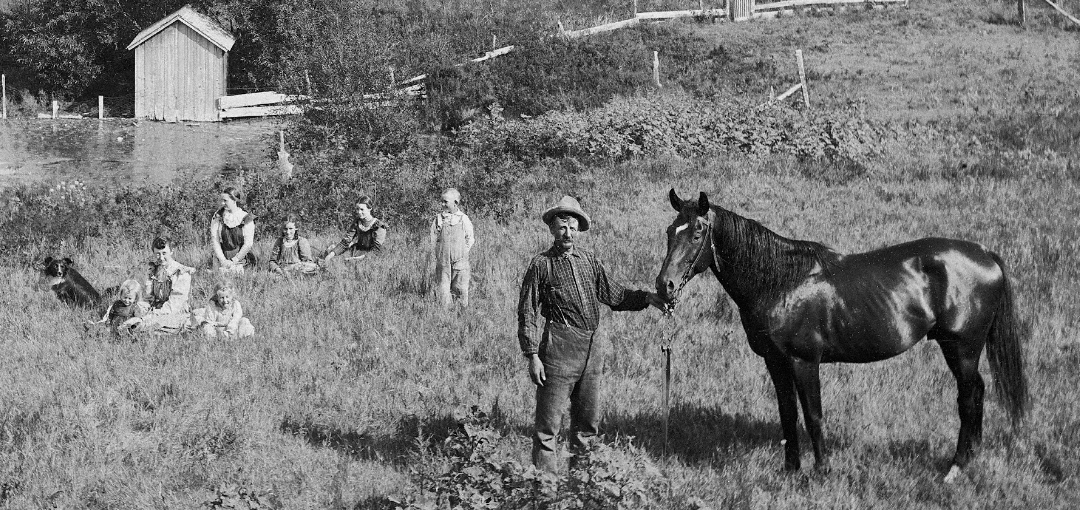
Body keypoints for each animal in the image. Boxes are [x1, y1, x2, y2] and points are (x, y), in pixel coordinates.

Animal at [656, 189, 1028, 479]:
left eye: (696, 234)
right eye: (670, 231)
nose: (664, 286)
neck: (781, 283)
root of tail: (986, 255)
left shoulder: (804, 361)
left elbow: (813, 416)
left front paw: (822, 472)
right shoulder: (775, 362)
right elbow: (788, 414)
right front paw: (790, 470)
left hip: (962, 349)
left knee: (969, 397)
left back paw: (955, 468)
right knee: (977, 393)